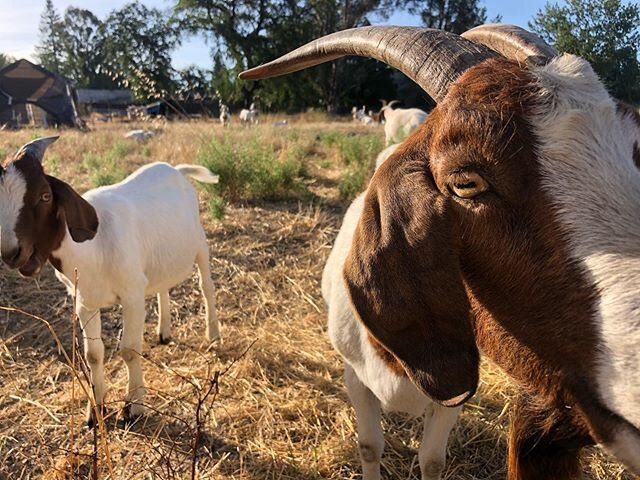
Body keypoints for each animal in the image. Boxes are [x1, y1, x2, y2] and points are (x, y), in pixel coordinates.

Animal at [0, 137, 220, 426]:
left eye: (45, 196)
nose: (11, 253)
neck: (93, 248)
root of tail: (176, 170)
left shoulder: (132, 295)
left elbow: (129, 350)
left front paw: (134, 406)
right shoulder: (84, 303)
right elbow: (93, 355)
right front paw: (95, 412)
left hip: (200, 245)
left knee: (207, 288)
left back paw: (213, 336)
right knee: (162, 286)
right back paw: (164, 332)